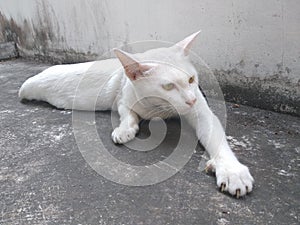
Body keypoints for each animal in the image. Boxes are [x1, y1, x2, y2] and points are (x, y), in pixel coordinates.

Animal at [18, 31, 253, 197]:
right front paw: (125, 130)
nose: (191, 99)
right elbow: (128, 115)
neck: (156, 108)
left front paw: (231, 170)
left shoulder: (202, 113)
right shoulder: (122, 100)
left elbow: (215, 137)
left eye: (191, 80)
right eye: (168, 86)